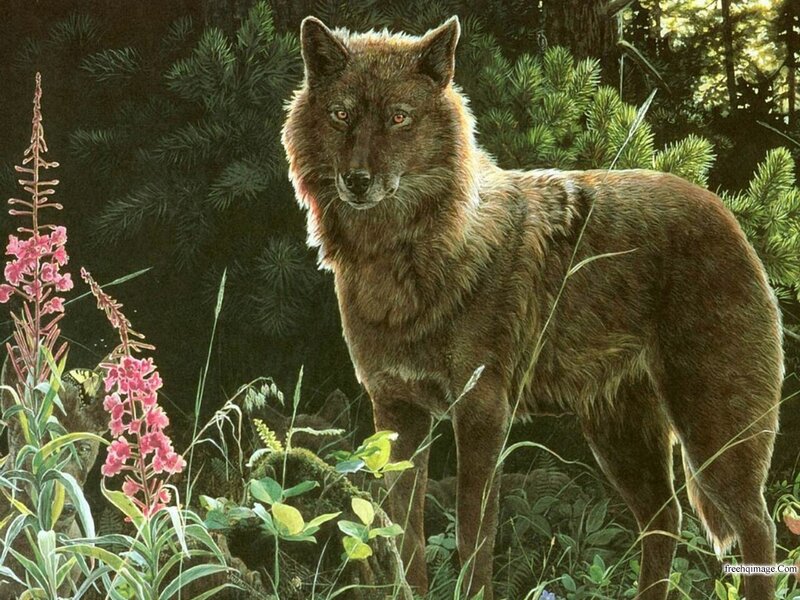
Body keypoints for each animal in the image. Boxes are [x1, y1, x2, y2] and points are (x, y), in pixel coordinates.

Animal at [282, 16, 783, 600]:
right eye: (341, 115)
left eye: (398, 118)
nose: (357, 181)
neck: (409, 260)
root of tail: (726, 214)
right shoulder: (396, 412)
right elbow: (404, 540)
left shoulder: (482, 413)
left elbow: (473, 538)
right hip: (620, 438)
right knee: (665, 520)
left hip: (712, 435)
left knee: (756, 527)